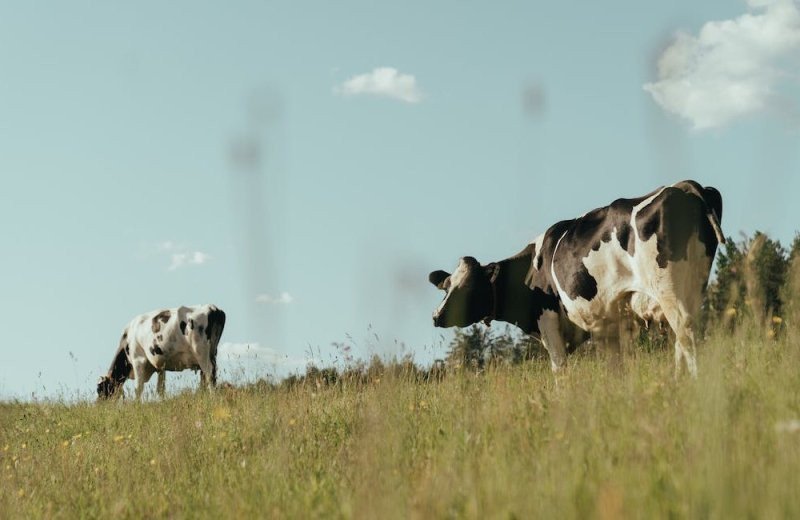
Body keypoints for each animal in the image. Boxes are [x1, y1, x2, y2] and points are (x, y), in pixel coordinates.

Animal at [99, 302, 228, 400]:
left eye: (100, 389)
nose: (99, 405)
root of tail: (212, 307)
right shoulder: (160, 367)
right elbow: (160, 389)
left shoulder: (138, 360)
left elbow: (138, 388)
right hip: (212, 353)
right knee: (208, 375)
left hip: (201, 352)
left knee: (209, 373)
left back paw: (212, 397)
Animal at [432, 181, 724, 376]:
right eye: (446, 287)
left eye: (468, 288)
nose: (436, 316)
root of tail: (686, 187)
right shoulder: (608, 326)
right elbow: (615, 367)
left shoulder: (548, 320)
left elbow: (559, 369)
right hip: (694, 285)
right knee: (683, 338)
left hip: (669, 290)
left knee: (686, 334)